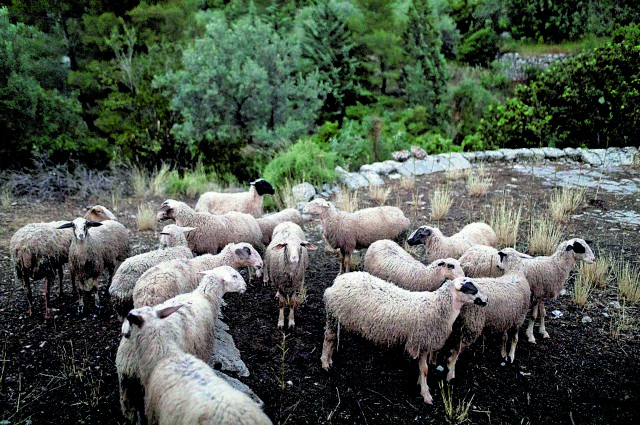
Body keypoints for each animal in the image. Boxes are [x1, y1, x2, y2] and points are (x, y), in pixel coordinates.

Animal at [116, 266, 249, 422]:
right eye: (234, 276)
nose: (245, 286)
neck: (205, 297)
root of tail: (129, 358)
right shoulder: (203, 348)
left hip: (127, 389)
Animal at [322, 274, 488, 402]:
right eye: (471, 289)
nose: (486, 300)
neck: (438, 307)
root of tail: (338, 280)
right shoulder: (420, 341)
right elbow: (425, 369)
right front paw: (426, 394)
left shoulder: (424, 344)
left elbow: (422, 368)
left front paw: (420, 383)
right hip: (333, 316)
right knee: (328, 339)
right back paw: (325, 363)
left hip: (340, 319)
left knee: (332, 339)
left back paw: (329, 360)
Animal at [442, 247, 532, 380]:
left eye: (501, 256)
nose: (497, 265)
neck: (515, 272)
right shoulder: (519, 318)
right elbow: (515, 338)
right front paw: (511, 356)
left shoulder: (506, 317)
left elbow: (504, 337)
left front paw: (504, 354)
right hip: (473, 323)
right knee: (455, 352)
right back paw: (450, 374)